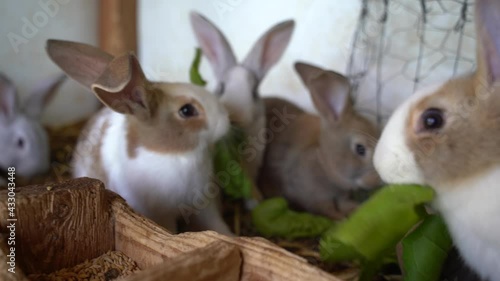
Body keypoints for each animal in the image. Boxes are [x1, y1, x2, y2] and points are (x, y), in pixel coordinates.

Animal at [46, 38, 232, 234]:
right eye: (187, 110)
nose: (226, 118)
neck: (177, 154)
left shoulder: (204, 204)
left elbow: (215, 224)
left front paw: (231, 236)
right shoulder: (160, 214)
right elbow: (167, 229)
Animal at [258, 61, 382, 219]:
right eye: (360, 149)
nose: (377, 180)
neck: (323, 160)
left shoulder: (340, 195)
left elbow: (343, 203)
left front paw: (354, 209)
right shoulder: (312, 197)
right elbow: (326, 209)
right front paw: (341, 218)